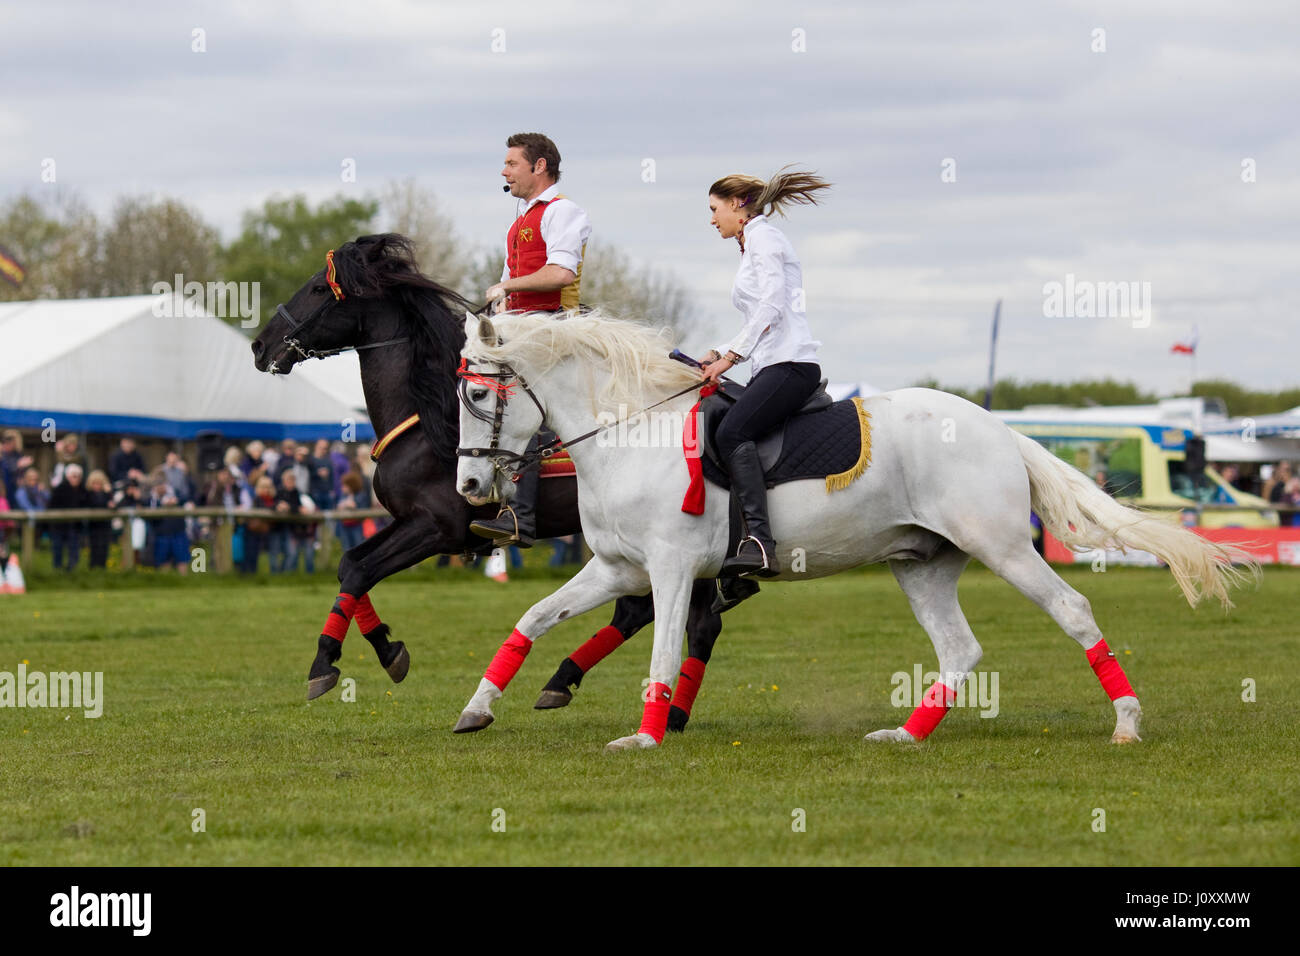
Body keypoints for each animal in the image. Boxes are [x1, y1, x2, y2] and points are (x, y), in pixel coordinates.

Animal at [248, 238, 728, 733]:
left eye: (318, 288)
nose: (260, 346)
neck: (428, 419)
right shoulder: (408, 521)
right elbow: (350, 565)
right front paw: (385, 647)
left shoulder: (437, 528)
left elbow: (361, 572)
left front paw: (328, 662)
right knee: (644, 612)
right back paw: (571, 683)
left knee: (692, 622)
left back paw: (654, 706)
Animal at [452, 310, 1253, 749]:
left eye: (474, 393)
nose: (469, 489)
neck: (629, 432)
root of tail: (1002, 430)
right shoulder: (619, 567)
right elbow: (534, 618)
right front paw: (477, 708)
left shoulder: (674, 570)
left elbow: (664, 649)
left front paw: (644, 737)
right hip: (922, 562)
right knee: (960, 648)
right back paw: (908, 734)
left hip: (1000, 546)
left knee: (1073, 610)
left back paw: (1126, 722)